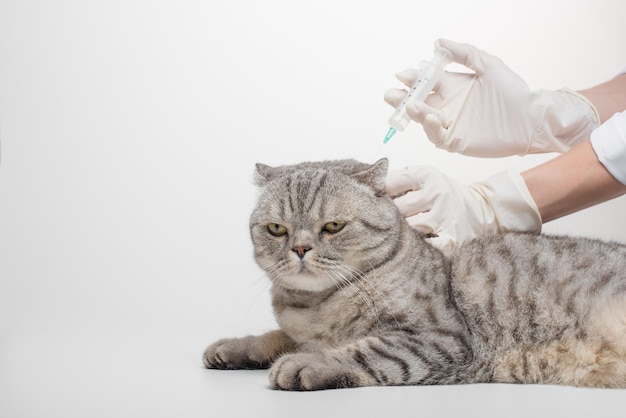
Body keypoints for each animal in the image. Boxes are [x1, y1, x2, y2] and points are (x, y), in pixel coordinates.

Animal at [204, 158, 624, 390]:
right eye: (276, 229)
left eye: (334, 226)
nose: (301, 249)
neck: (314, 307)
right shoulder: (298, 330)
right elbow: (276, 336)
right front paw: (236, 347)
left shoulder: (444, 338)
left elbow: (366, 350)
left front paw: (311, 363)